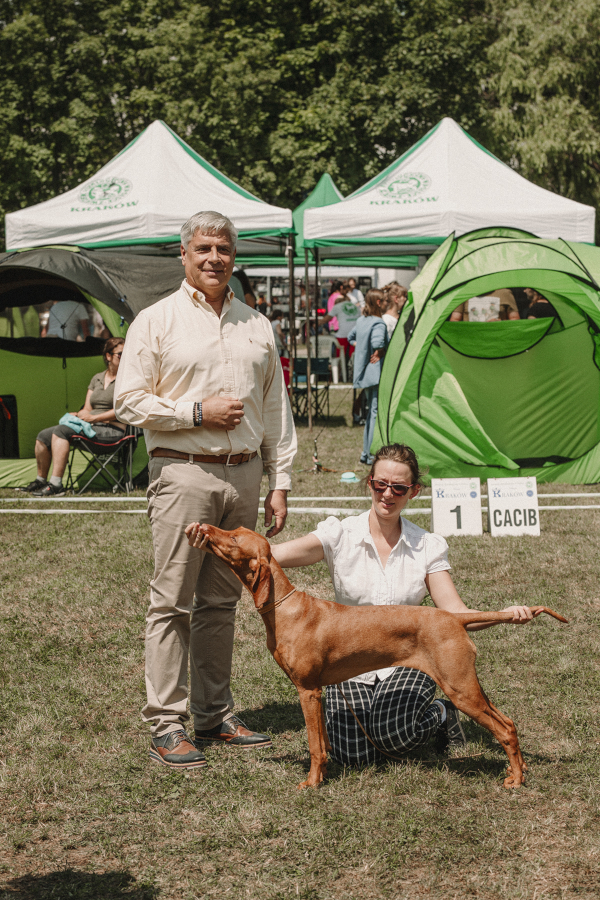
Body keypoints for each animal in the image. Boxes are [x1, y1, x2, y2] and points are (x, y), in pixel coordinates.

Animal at [189, 524, 568, 792]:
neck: (286, 608)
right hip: (467, 684)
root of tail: (453, 617)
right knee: (509, 723)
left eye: (234, 537)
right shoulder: (319, 692)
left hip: (460, 688)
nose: (204, 526)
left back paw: (515, 780)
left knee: (502, 728)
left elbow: (314, 745)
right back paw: (518, 769)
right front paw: (324, 774)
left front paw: (311, 783)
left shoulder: (307, 690)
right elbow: (324, 743)